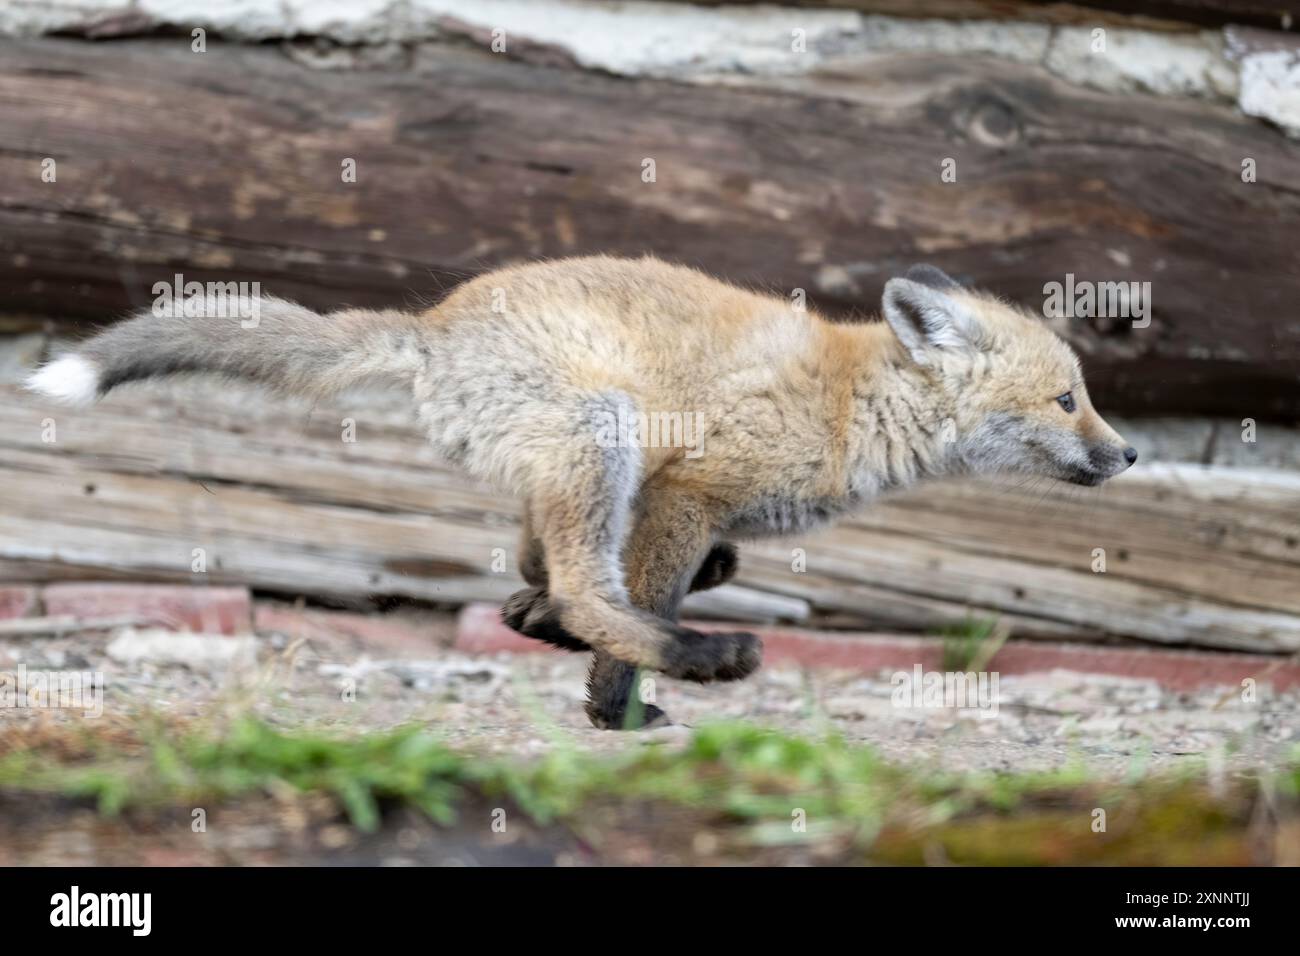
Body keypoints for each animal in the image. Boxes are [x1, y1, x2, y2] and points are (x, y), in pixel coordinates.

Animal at [25, 256, 1137, 729]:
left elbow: (605, 579)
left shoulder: (675, 505)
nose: (1127, 455)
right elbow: (636, 598)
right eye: (1068, 398)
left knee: (548, 571)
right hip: (602, 429)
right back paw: (698, 657)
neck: (848, 401)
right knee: (585, 589)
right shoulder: (692, 488)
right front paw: (617, 708)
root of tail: (434, 326)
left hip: (571, 460)